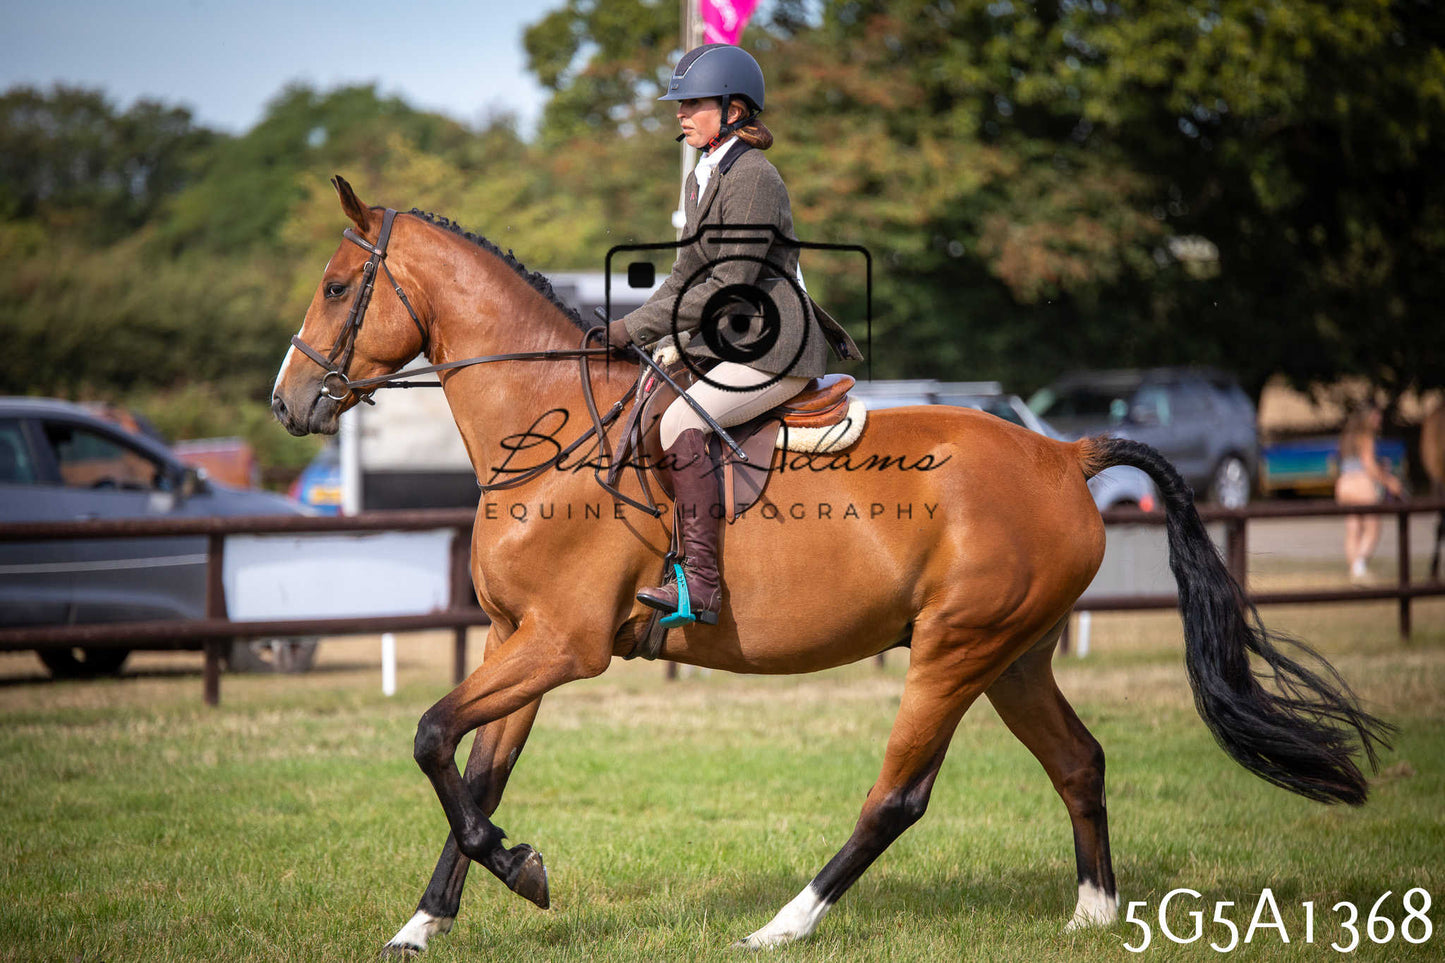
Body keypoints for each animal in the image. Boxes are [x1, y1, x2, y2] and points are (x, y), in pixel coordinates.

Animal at [271, 177, 1390, 956]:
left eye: (337, 286)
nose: (287, 404)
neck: (550, 436)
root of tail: (1062, 453)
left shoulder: (562, 645)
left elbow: (429, 737)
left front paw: (519, 870)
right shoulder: (519, 641)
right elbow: (476, 773)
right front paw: (429, 920)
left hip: (952, 650)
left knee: (897, 796)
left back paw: (784, 924)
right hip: (1013, 656)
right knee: (1078, 762)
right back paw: (1091, 916)